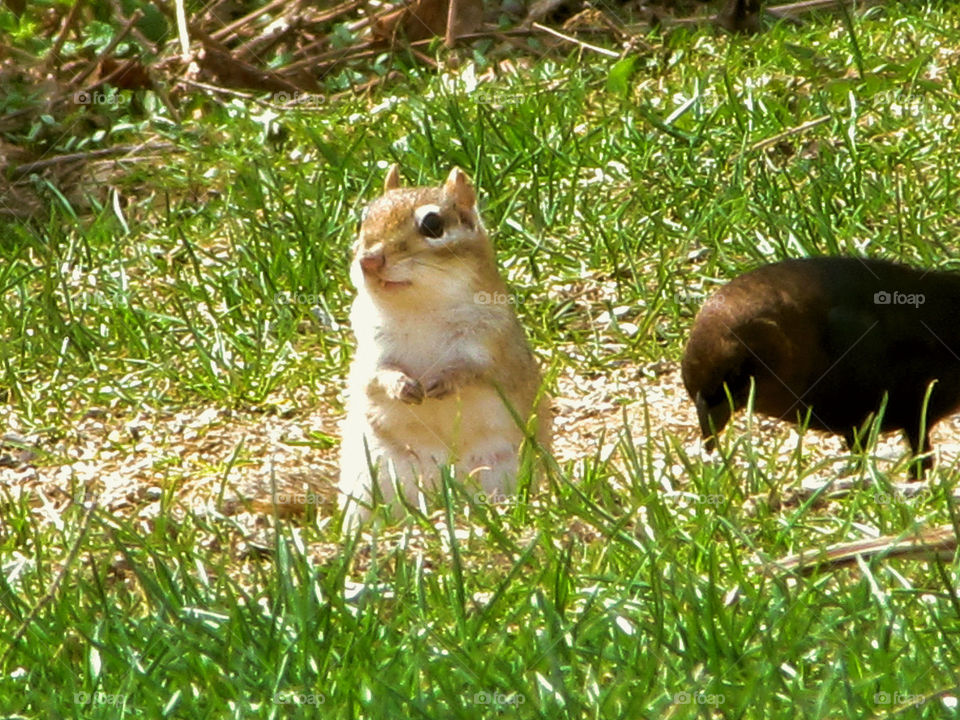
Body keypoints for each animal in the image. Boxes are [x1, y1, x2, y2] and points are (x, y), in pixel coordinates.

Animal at [338, 165, 551, 530]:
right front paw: (401, 385)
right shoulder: (370, 350)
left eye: (433, 225)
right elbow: (377, 375)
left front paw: (443, 381)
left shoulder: (491, 344)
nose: (369, 261)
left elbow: (473, 371)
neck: (419, 308)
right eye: (364, 218)